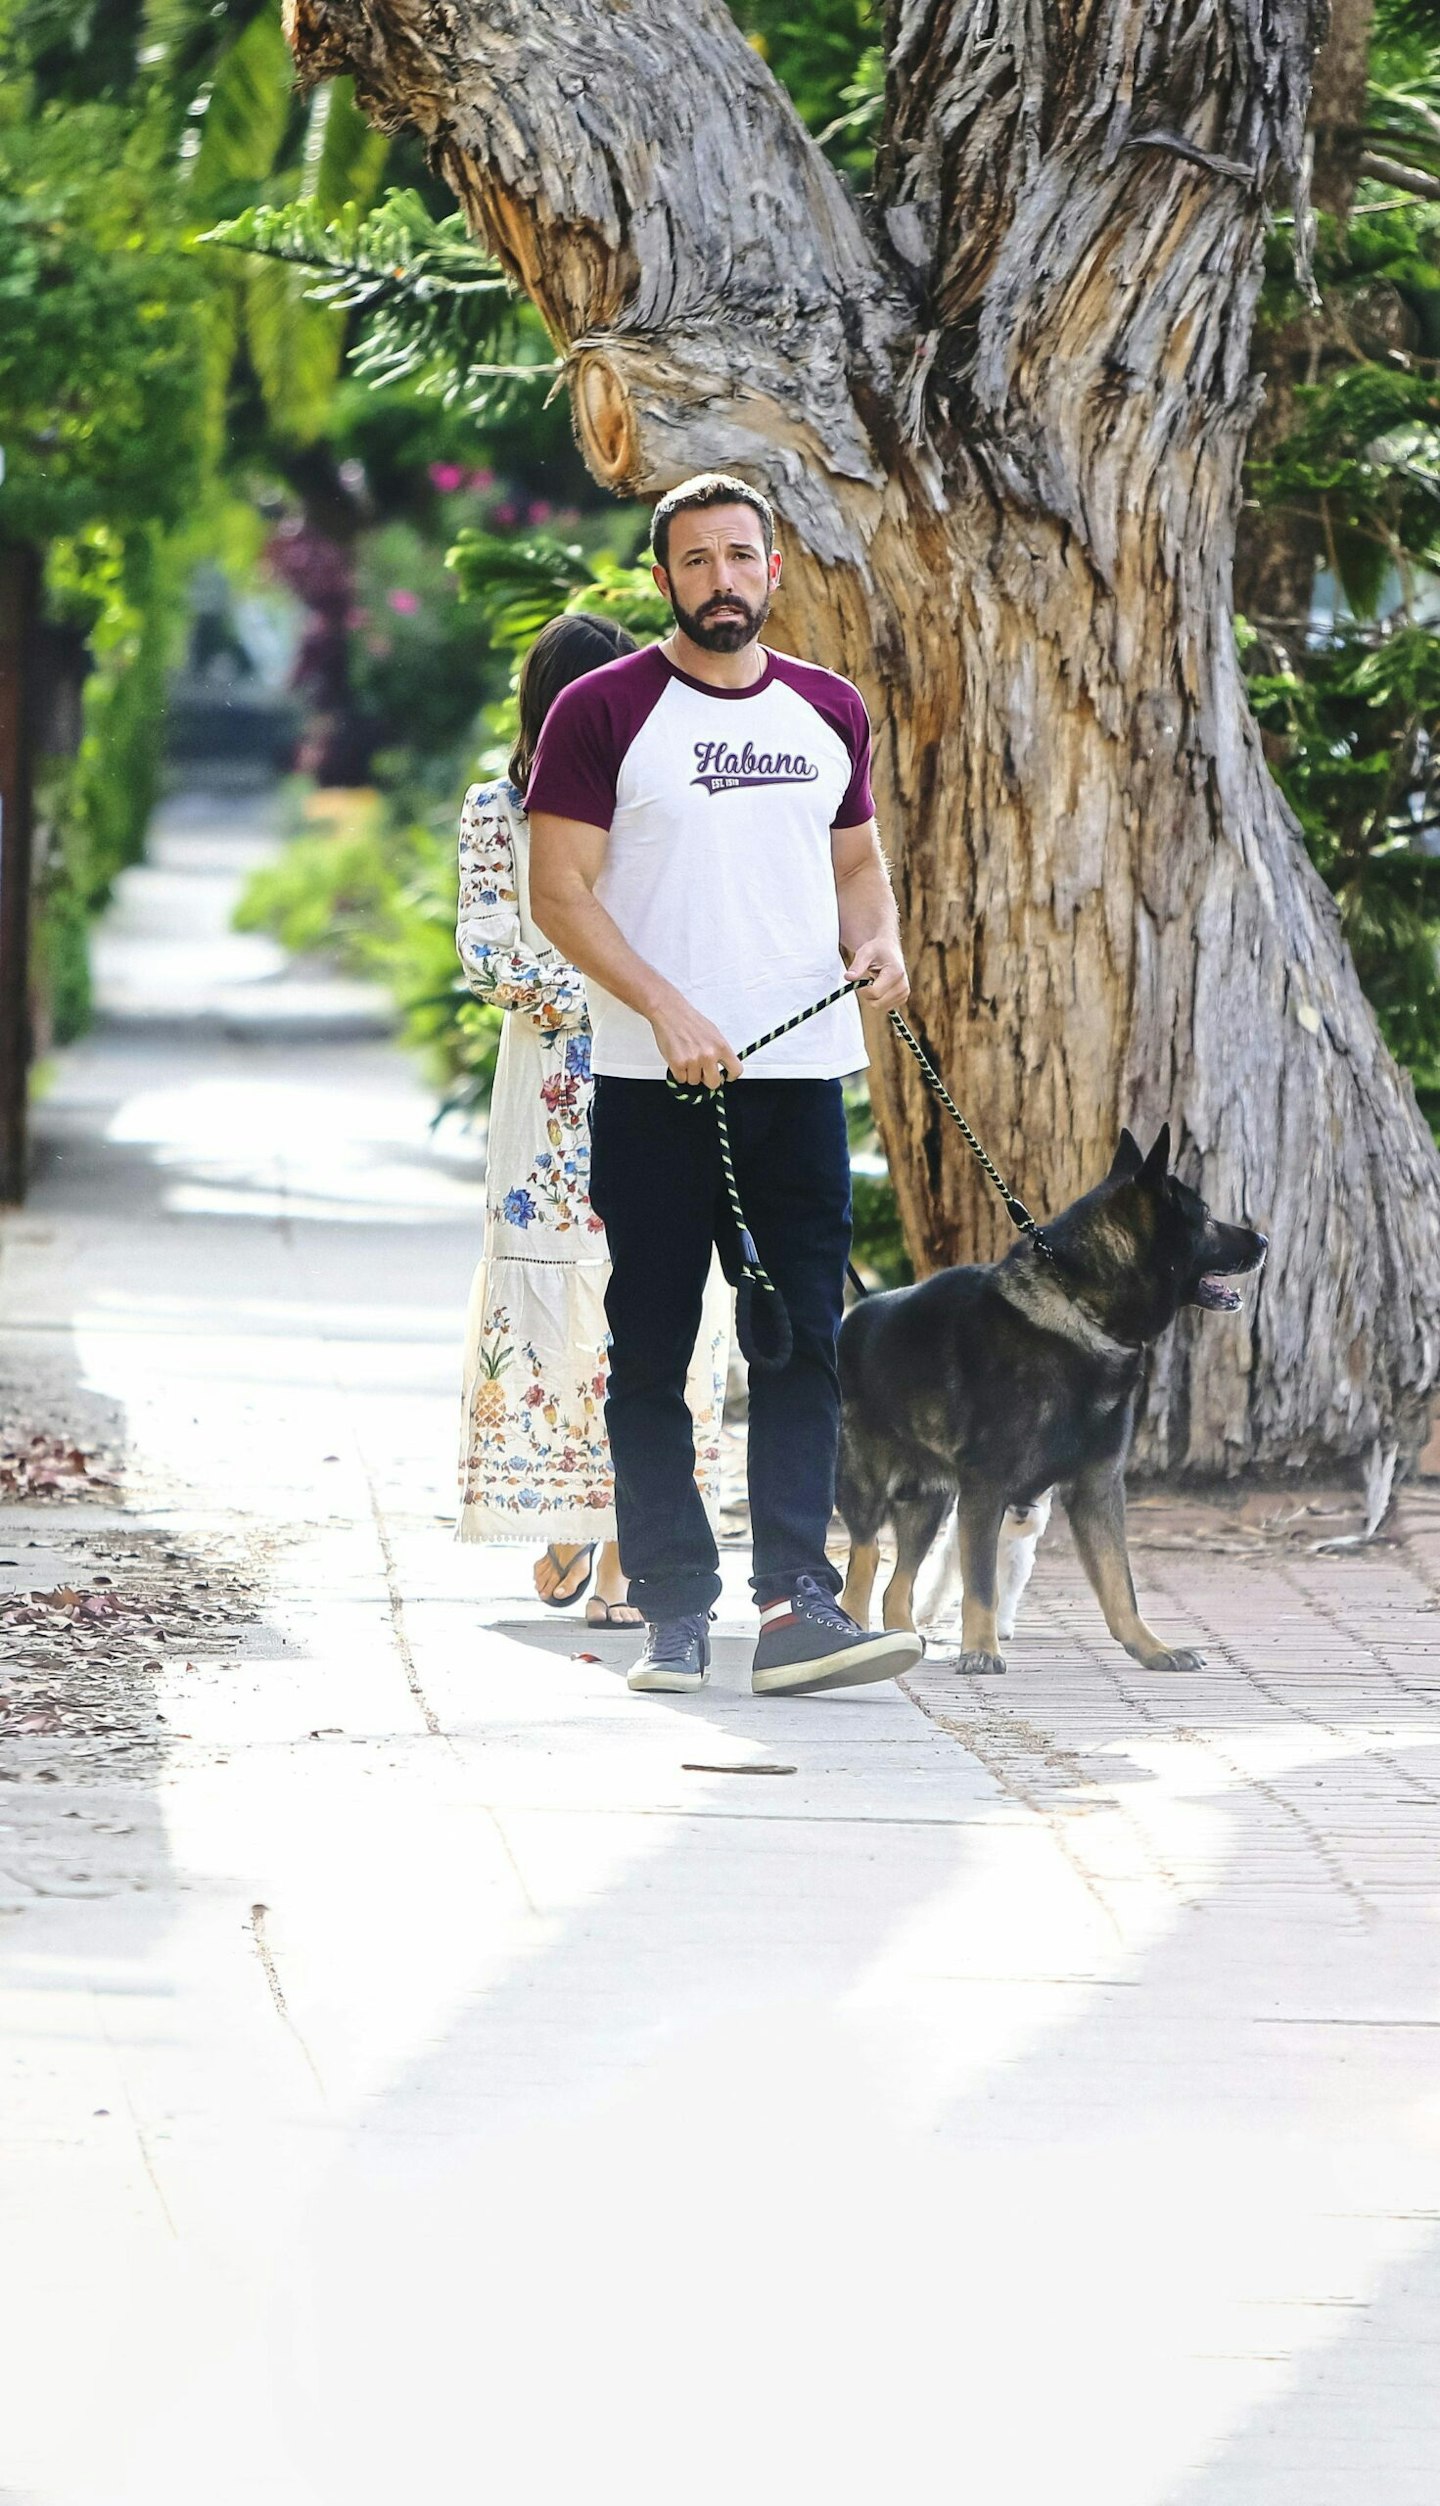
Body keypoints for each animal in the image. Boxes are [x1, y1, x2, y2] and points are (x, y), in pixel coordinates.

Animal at [841, 1127, 1267, 1674]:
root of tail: (852, 1318)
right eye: (1208, 1217)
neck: (1080, 1308)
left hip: (926, 1505)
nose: (1264, 1242)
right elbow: (982, 1585)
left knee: (898, 1586)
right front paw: (981, 1649)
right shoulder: (986, 1489)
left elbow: (1120, 1585)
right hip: (868, 1489)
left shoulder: (1097, 1486)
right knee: (865, 1559)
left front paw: (1151, 1648)